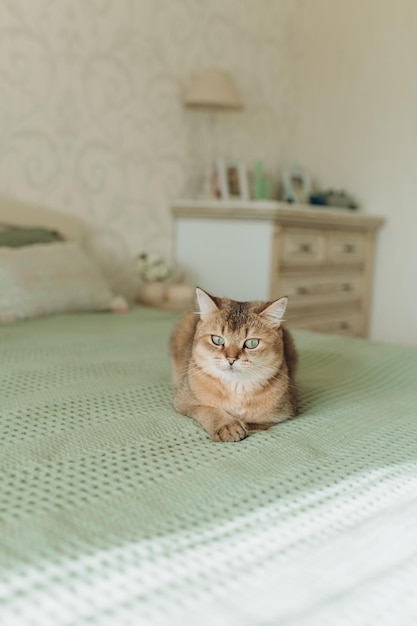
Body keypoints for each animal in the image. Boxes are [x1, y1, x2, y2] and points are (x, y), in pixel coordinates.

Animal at [169, 288, 296, 438]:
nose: (231, 359)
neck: (236, 388)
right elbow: (207, 409)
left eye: (252, 343)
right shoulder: (183, 401)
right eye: (217, 340)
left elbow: (255, 421)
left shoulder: (281, 414)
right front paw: (227, 425)